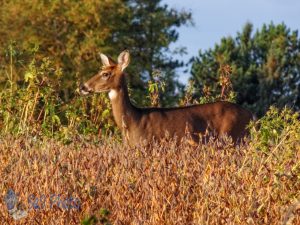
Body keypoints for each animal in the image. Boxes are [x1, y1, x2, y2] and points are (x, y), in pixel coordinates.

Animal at [79, 50, 253, 147]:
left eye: (105, 74)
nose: (82, 87)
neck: (134, 121)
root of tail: (251, 115)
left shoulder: (148, 145)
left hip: (234, 138)